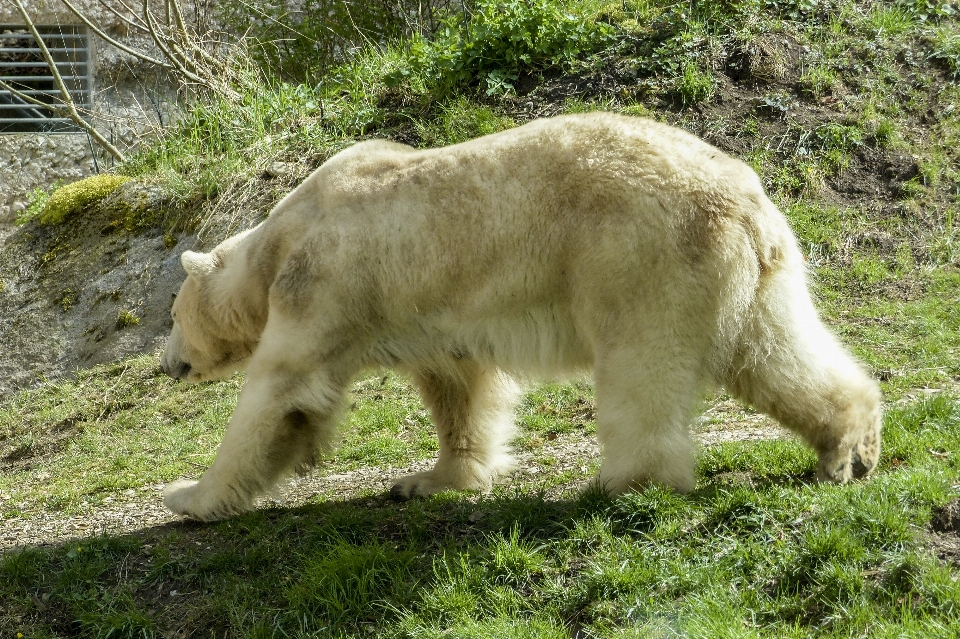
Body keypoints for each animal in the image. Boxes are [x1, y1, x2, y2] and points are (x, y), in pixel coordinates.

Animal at [161, 112, 880, 524]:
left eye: (170, 313)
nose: (167, 363)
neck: (277, 243)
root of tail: (747, 202)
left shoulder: (321, 285)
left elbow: (281, 391)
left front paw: (189, 496)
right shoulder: (426, 312)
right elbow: (459, 387)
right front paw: (426, 480)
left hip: (638, 260)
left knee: (641, 372)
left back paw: (621, 482)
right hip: (752, 277)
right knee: (774, 352)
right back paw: (849, 446)